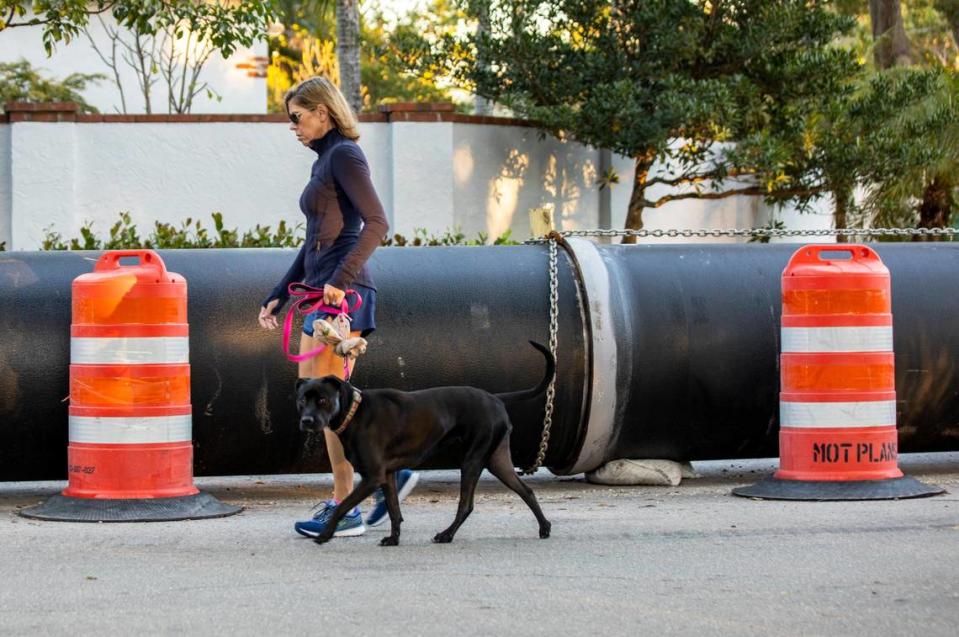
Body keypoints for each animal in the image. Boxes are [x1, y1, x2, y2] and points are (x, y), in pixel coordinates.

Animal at [294, 340, 556, 544]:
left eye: (323, 400)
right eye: (302, 400)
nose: (306, 421)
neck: (355, 412)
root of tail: (495, 398)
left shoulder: (372, 477)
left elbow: (343, 505)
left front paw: (325, 534)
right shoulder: (386, 476)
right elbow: (393, 510)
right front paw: (394, 539)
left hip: (472, 460)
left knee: (466, 505)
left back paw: (447, 535)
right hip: (497, 461)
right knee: (526, 491)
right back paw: (544, 527)